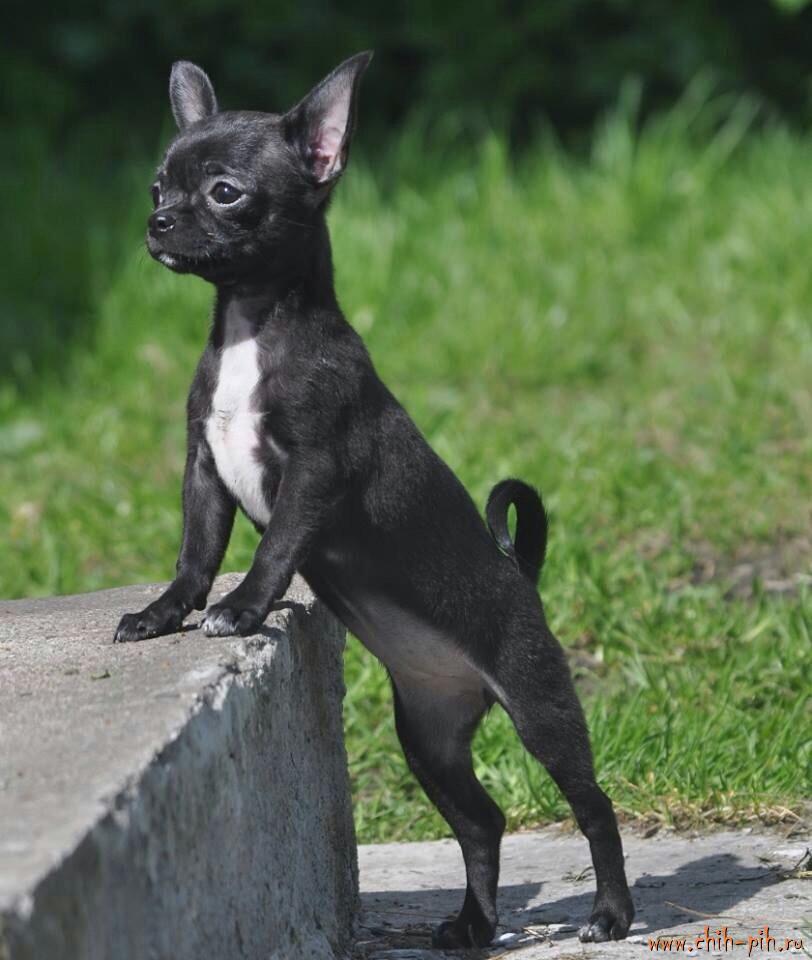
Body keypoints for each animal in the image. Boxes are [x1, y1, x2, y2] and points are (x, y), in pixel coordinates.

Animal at [114, 52, 634, 948]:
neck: (253, 325)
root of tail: (521, 575)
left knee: (592, 804)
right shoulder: (204, 470)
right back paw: (473, 927)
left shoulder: (313, 474)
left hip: (538, 706)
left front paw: (242, 609)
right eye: (156, 187)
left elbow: (273, 547)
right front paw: (162, 614)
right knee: (481, 821)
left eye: (225, 192)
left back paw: (610, 912)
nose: (159, 222)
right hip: (428, 736)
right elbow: (194, 552)